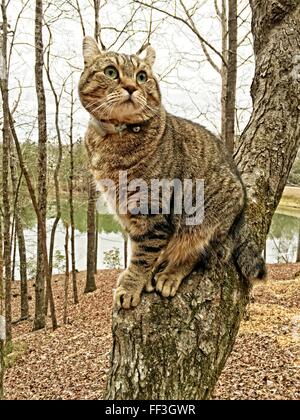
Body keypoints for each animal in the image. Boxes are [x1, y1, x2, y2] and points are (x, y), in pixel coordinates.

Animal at [79, 37, 264, 308]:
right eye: (111, 72)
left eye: (142, 76)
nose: (131, 87)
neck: (115, 140)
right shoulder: (128, 212)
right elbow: (141, 250)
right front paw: (141, 277)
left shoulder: (151, 209)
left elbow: (142, 255)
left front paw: (131, 285)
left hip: (202, 220)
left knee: (196, 253)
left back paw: (170, 274)